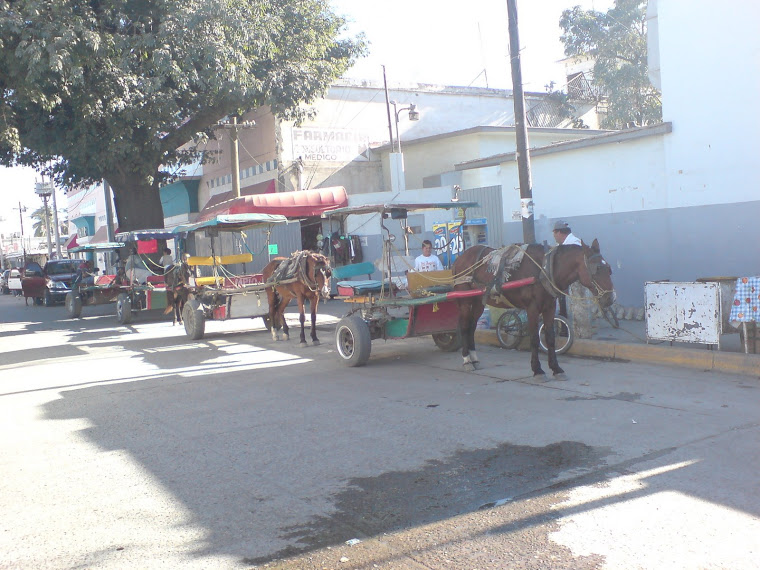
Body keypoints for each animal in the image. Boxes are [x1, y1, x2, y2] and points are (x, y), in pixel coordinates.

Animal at [454, 240, 616, 378]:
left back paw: (474, 359)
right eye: (597, 269)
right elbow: (534, 339)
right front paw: (537, 369)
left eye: (609, 268)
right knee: (464, 327)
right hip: (464, 300)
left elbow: (550, 338)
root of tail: (460, 257)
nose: (611, 298)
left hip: (478, 302)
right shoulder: (532, 308)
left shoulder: (549, 308)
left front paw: (556, 368)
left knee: (472, 327)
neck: (544, 269)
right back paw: (467, 360)